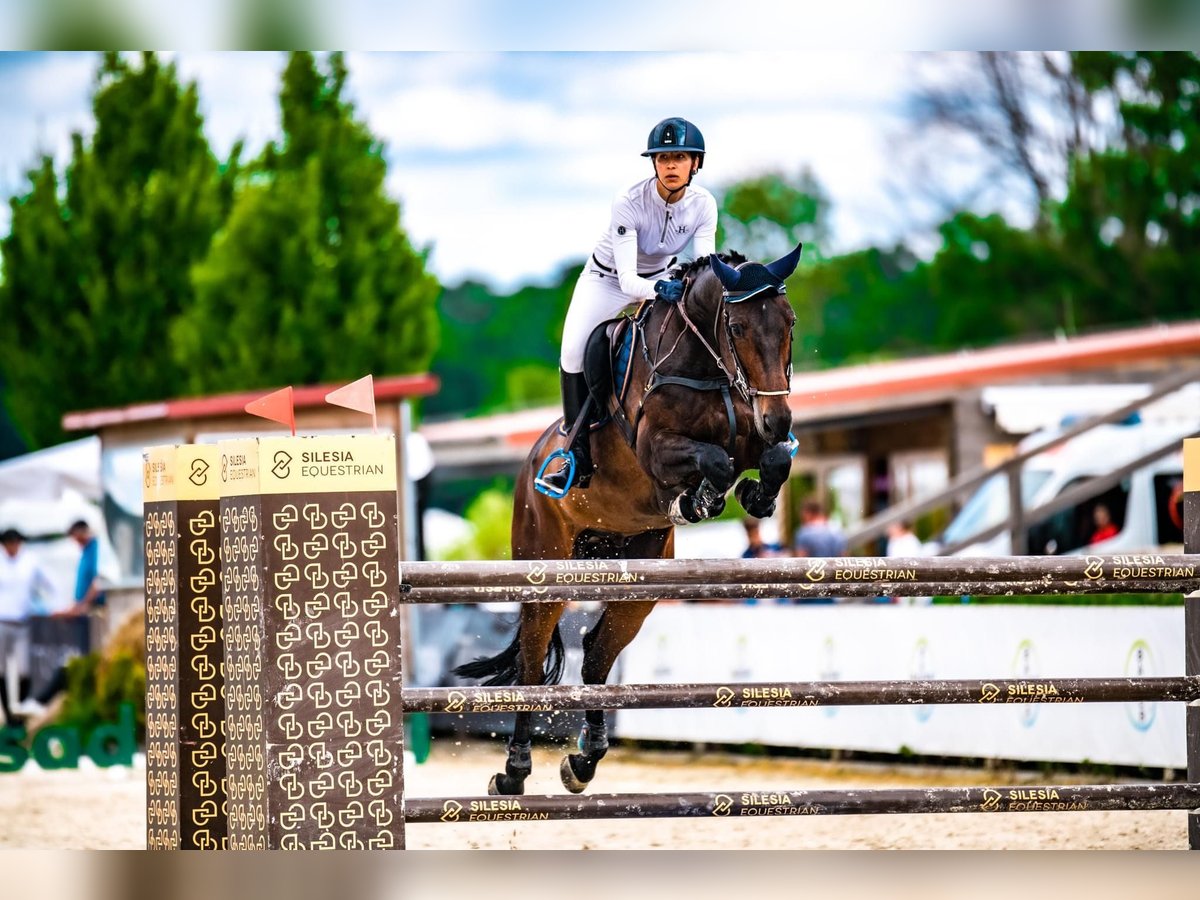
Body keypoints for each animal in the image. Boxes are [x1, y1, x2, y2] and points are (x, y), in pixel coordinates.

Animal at [453, 241, 801, 796]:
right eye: (739, 327)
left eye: (788, 322)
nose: (779, 419)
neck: (706, 366)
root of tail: (531, 464)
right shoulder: (657, 451)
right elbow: (714, 461)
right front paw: (700, 499)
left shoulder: (753, 438)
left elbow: (773, 460)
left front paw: (756, 496)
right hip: (545, 565)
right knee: (532, 662)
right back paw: (514, 771)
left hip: (637, 575)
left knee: (596, 654)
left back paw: (584, 760)